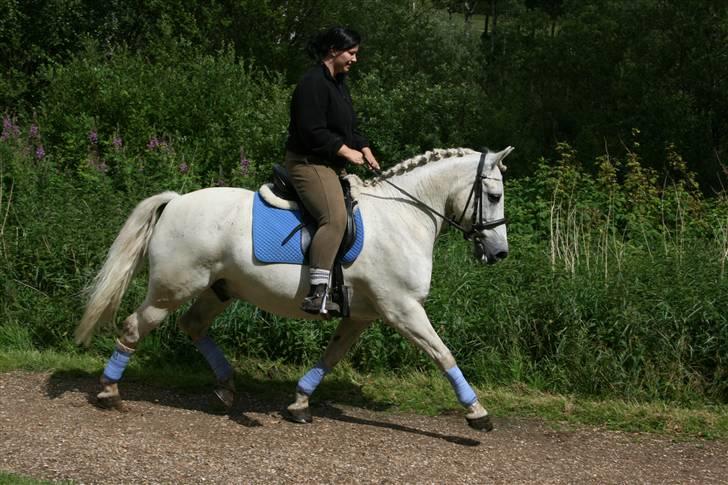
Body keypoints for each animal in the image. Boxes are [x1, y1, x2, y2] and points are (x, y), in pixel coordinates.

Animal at [77, 146, 516, 430]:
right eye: (494, 195)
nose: (499, 253)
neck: (403, 217)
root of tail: (176, 201)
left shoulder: (362, 315)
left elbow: (331, 356)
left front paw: (300, 401)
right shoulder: (402, 309)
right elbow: (442, 353)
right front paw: (477, 412)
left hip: (218, 288)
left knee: (193, 326)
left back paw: (226, 388)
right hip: (173, 288)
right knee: (135, 327)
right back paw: (110, 392)